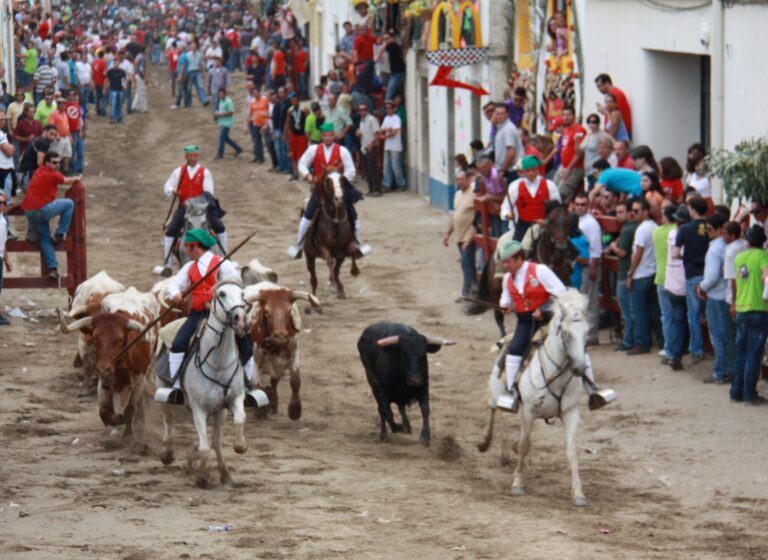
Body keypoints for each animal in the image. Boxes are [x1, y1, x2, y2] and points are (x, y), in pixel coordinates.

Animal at [61, 288, 160, 442]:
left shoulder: (139, 379)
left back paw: (139, 422)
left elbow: (130, 409)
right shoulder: (103, 381)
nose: (103, 369)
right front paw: (117, 419)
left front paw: (129, 433)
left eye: (119, 340)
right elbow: (105, 413)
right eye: (95, 338)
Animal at [157, 278, 252, 488]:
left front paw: (240, 447)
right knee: (168, 420)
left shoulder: (232, 400)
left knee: (215, 441)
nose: (240, 319)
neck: (218, 363)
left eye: (242, 294)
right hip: (162, 390)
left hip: (218, 411)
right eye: (222, 294)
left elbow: (238, 420)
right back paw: (167, 454)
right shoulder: (199, 409)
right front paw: (201, 478)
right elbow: (204, 448)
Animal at [244, 282, 320, 418]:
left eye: (289, 311)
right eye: (266, 312)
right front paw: (261, 410)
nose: (281, 336)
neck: (276, 347)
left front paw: (295, 410)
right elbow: (258, 385)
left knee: (274, 382)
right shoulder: (255, 364)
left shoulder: (293, 357)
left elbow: (295, 381)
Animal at [304, 171, 360, 300]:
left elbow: (352, 251)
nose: (339, 198)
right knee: (313, 279)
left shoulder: (343, 250)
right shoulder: (324, 248)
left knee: (335, 270)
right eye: (327, 181)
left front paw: (354, 271)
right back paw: (314, 299)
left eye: (342, 179)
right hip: (309, 256)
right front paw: (334, 284)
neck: (336, 221)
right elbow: (329, 262)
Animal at [476, 288, 592, 508]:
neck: (555, 374)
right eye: (566, 333)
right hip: (495, 390)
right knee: (491, 408)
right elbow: (525, 445)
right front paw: (517, 483)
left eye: (586, 333)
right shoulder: (528, 412)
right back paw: (484, 442)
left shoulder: (571, 413)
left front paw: (579, 493)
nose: (580, 368)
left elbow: (571, 451)